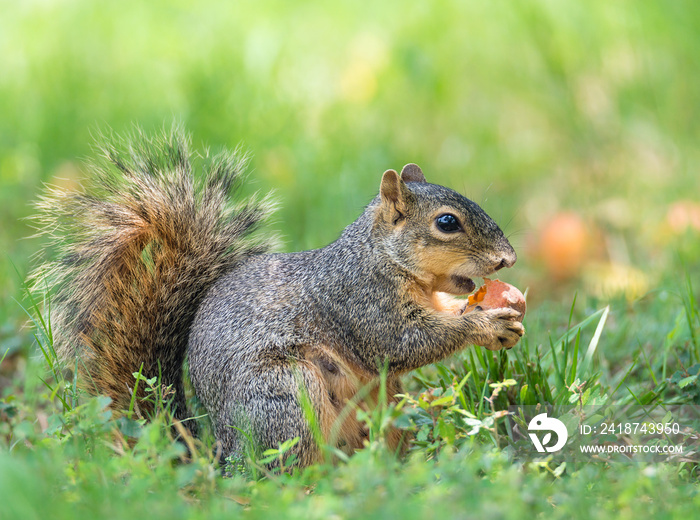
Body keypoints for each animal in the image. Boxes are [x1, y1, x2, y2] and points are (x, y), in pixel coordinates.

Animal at [34, 129, 524, 468]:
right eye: (447, 222)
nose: (508, 258)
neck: (380, 257)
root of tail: (222, 456)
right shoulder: (359, 301)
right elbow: (401, 344)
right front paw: (485, 324)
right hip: (286, 396)